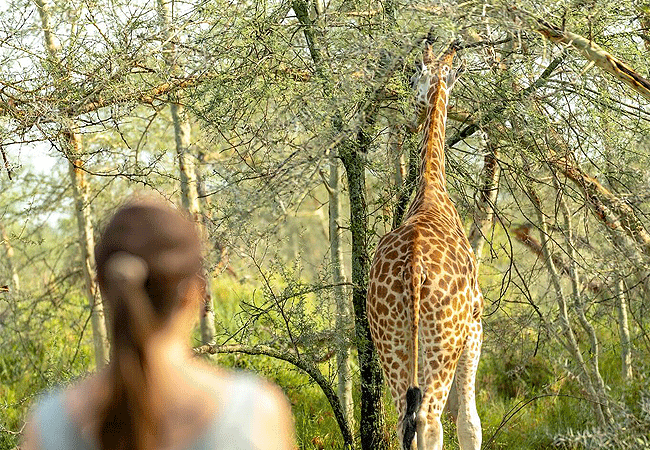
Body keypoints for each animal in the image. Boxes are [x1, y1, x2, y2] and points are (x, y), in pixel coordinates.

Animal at [367, 42, 483, 450]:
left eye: (413, 79)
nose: (412, 117)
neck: (431, 192)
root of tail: (415, 267)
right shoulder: (475, 325)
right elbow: (469, 424)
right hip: (442, 340)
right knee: (431, 420)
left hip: (389, 335)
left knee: (408, 416)